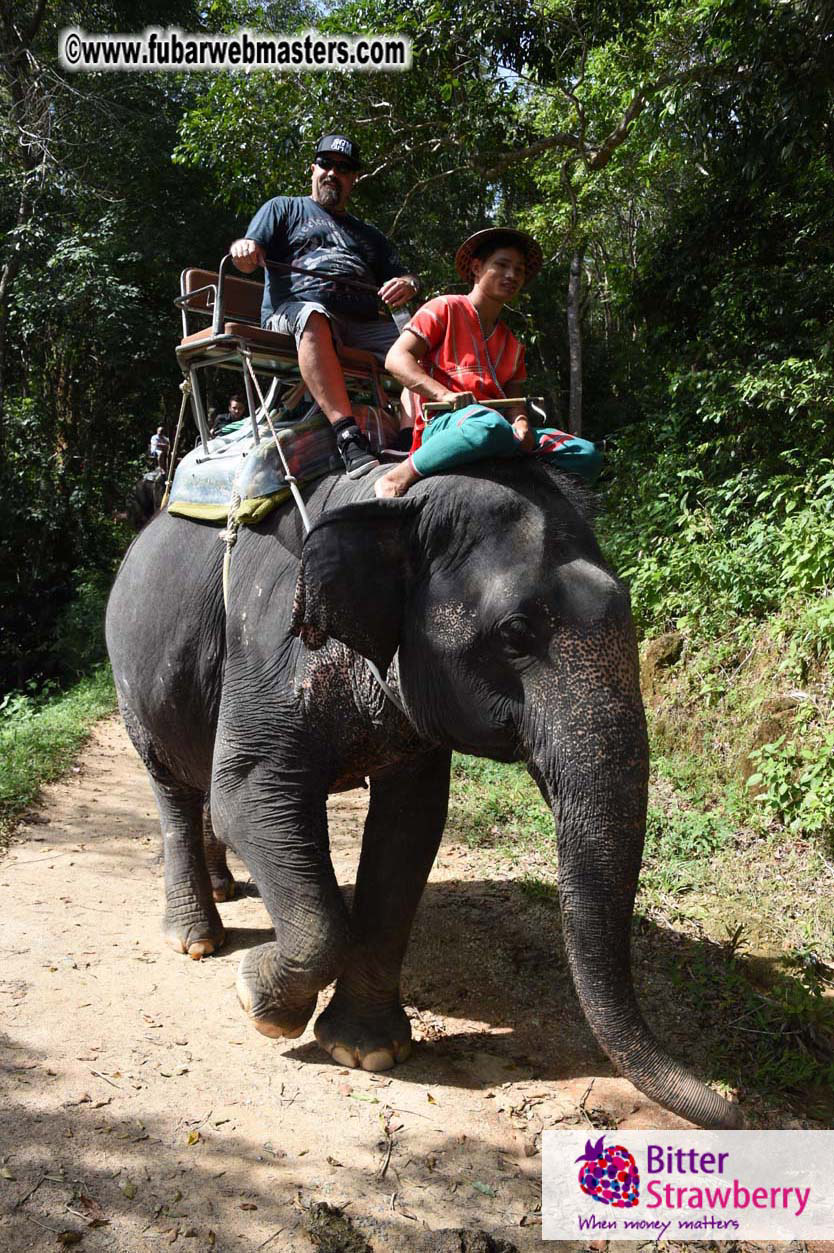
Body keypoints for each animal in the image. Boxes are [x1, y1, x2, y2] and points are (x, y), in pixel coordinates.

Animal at [105, 456, 741, 1129]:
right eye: (516, 633)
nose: (735, 1107)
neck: (395, 506)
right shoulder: (270, 653)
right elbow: (248, 800)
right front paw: (258, 997)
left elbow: (410, 828)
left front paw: (366, 1051)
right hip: (131, 680)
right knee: (174, 788)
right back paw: (197, 942)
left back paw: (227, 890)